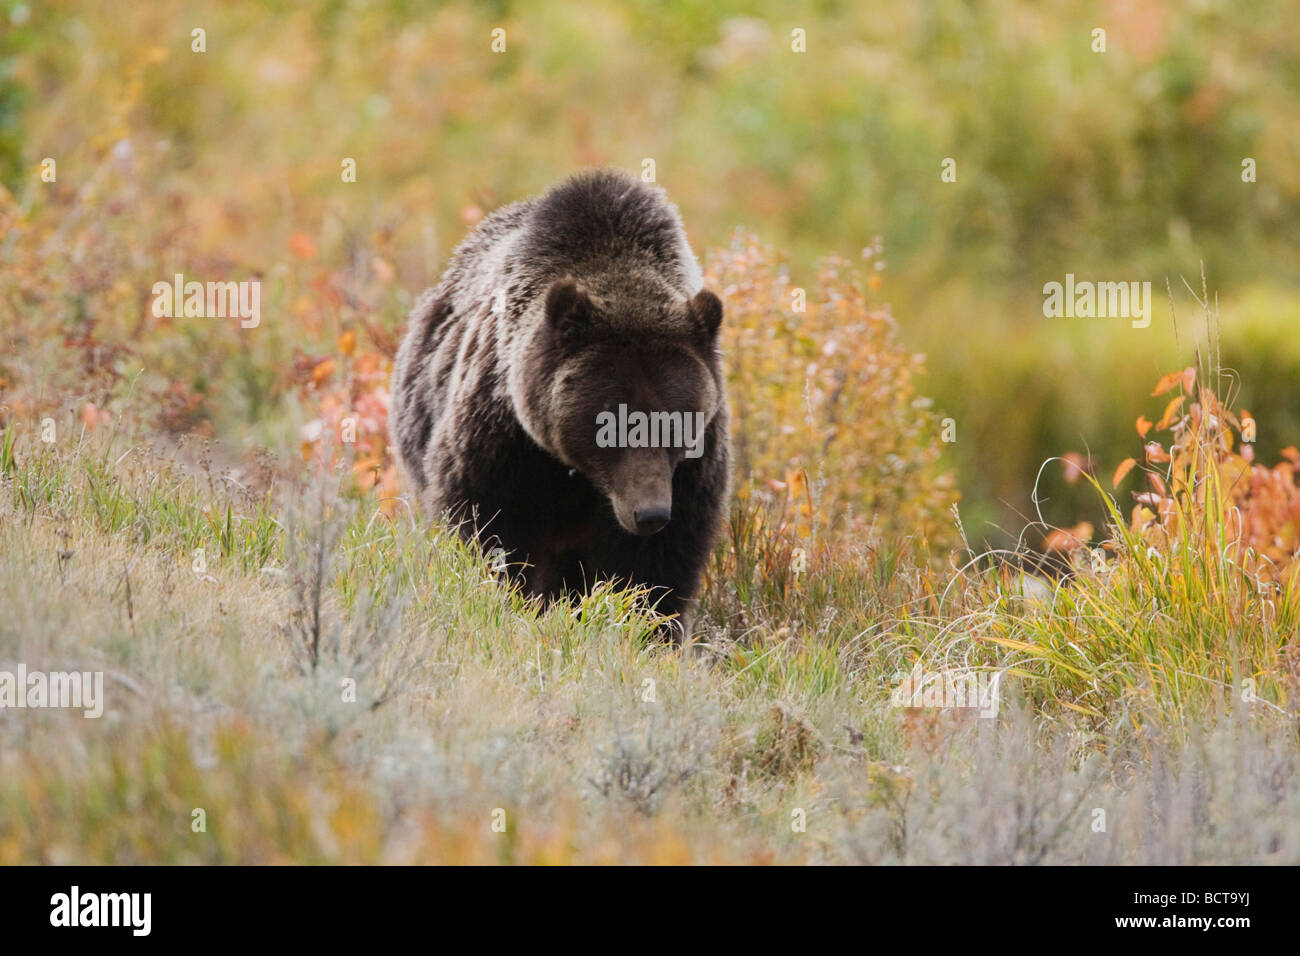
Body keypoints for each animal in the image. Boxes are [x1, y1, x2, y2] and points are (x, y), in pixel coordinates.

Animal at [384, 170, 733, 642]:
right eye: (608, 422)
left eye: (676, 423)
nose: (650, 513)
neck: (580, 476)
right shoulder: (502, 439)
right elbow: (489, 529)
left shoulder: (693, 467)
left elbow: (660, 565)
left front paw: (649, 629)